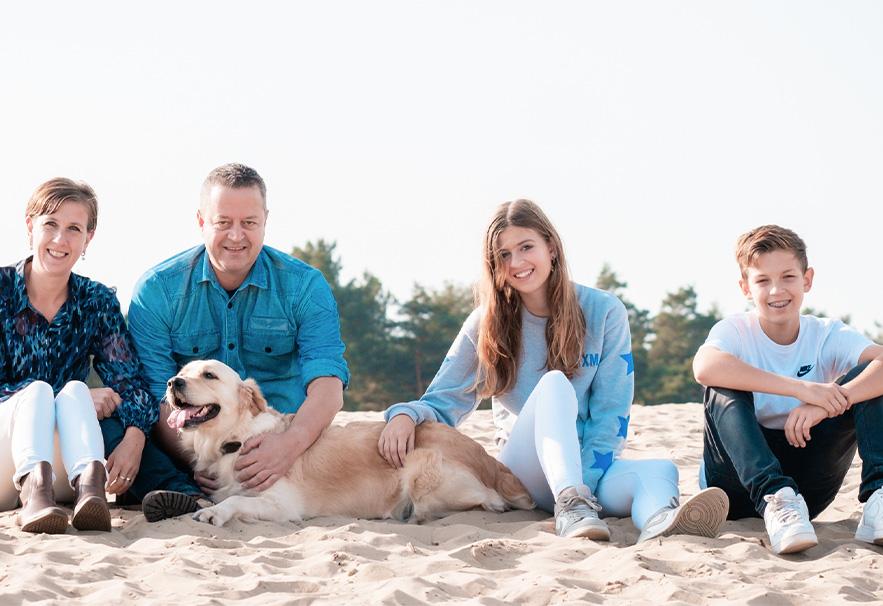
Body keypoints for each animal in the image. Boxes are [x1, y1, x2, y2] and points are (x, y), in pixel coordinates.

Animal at [167, 360, 540, 528]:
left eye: (209, 375)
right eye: (183, 371)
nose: (173, 382)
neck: (234, 439)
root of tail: (490, 461)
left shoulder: (281, 505)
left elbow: (234, 502)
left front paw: (214, 513)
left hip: (424, 471)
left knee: (489, 501)